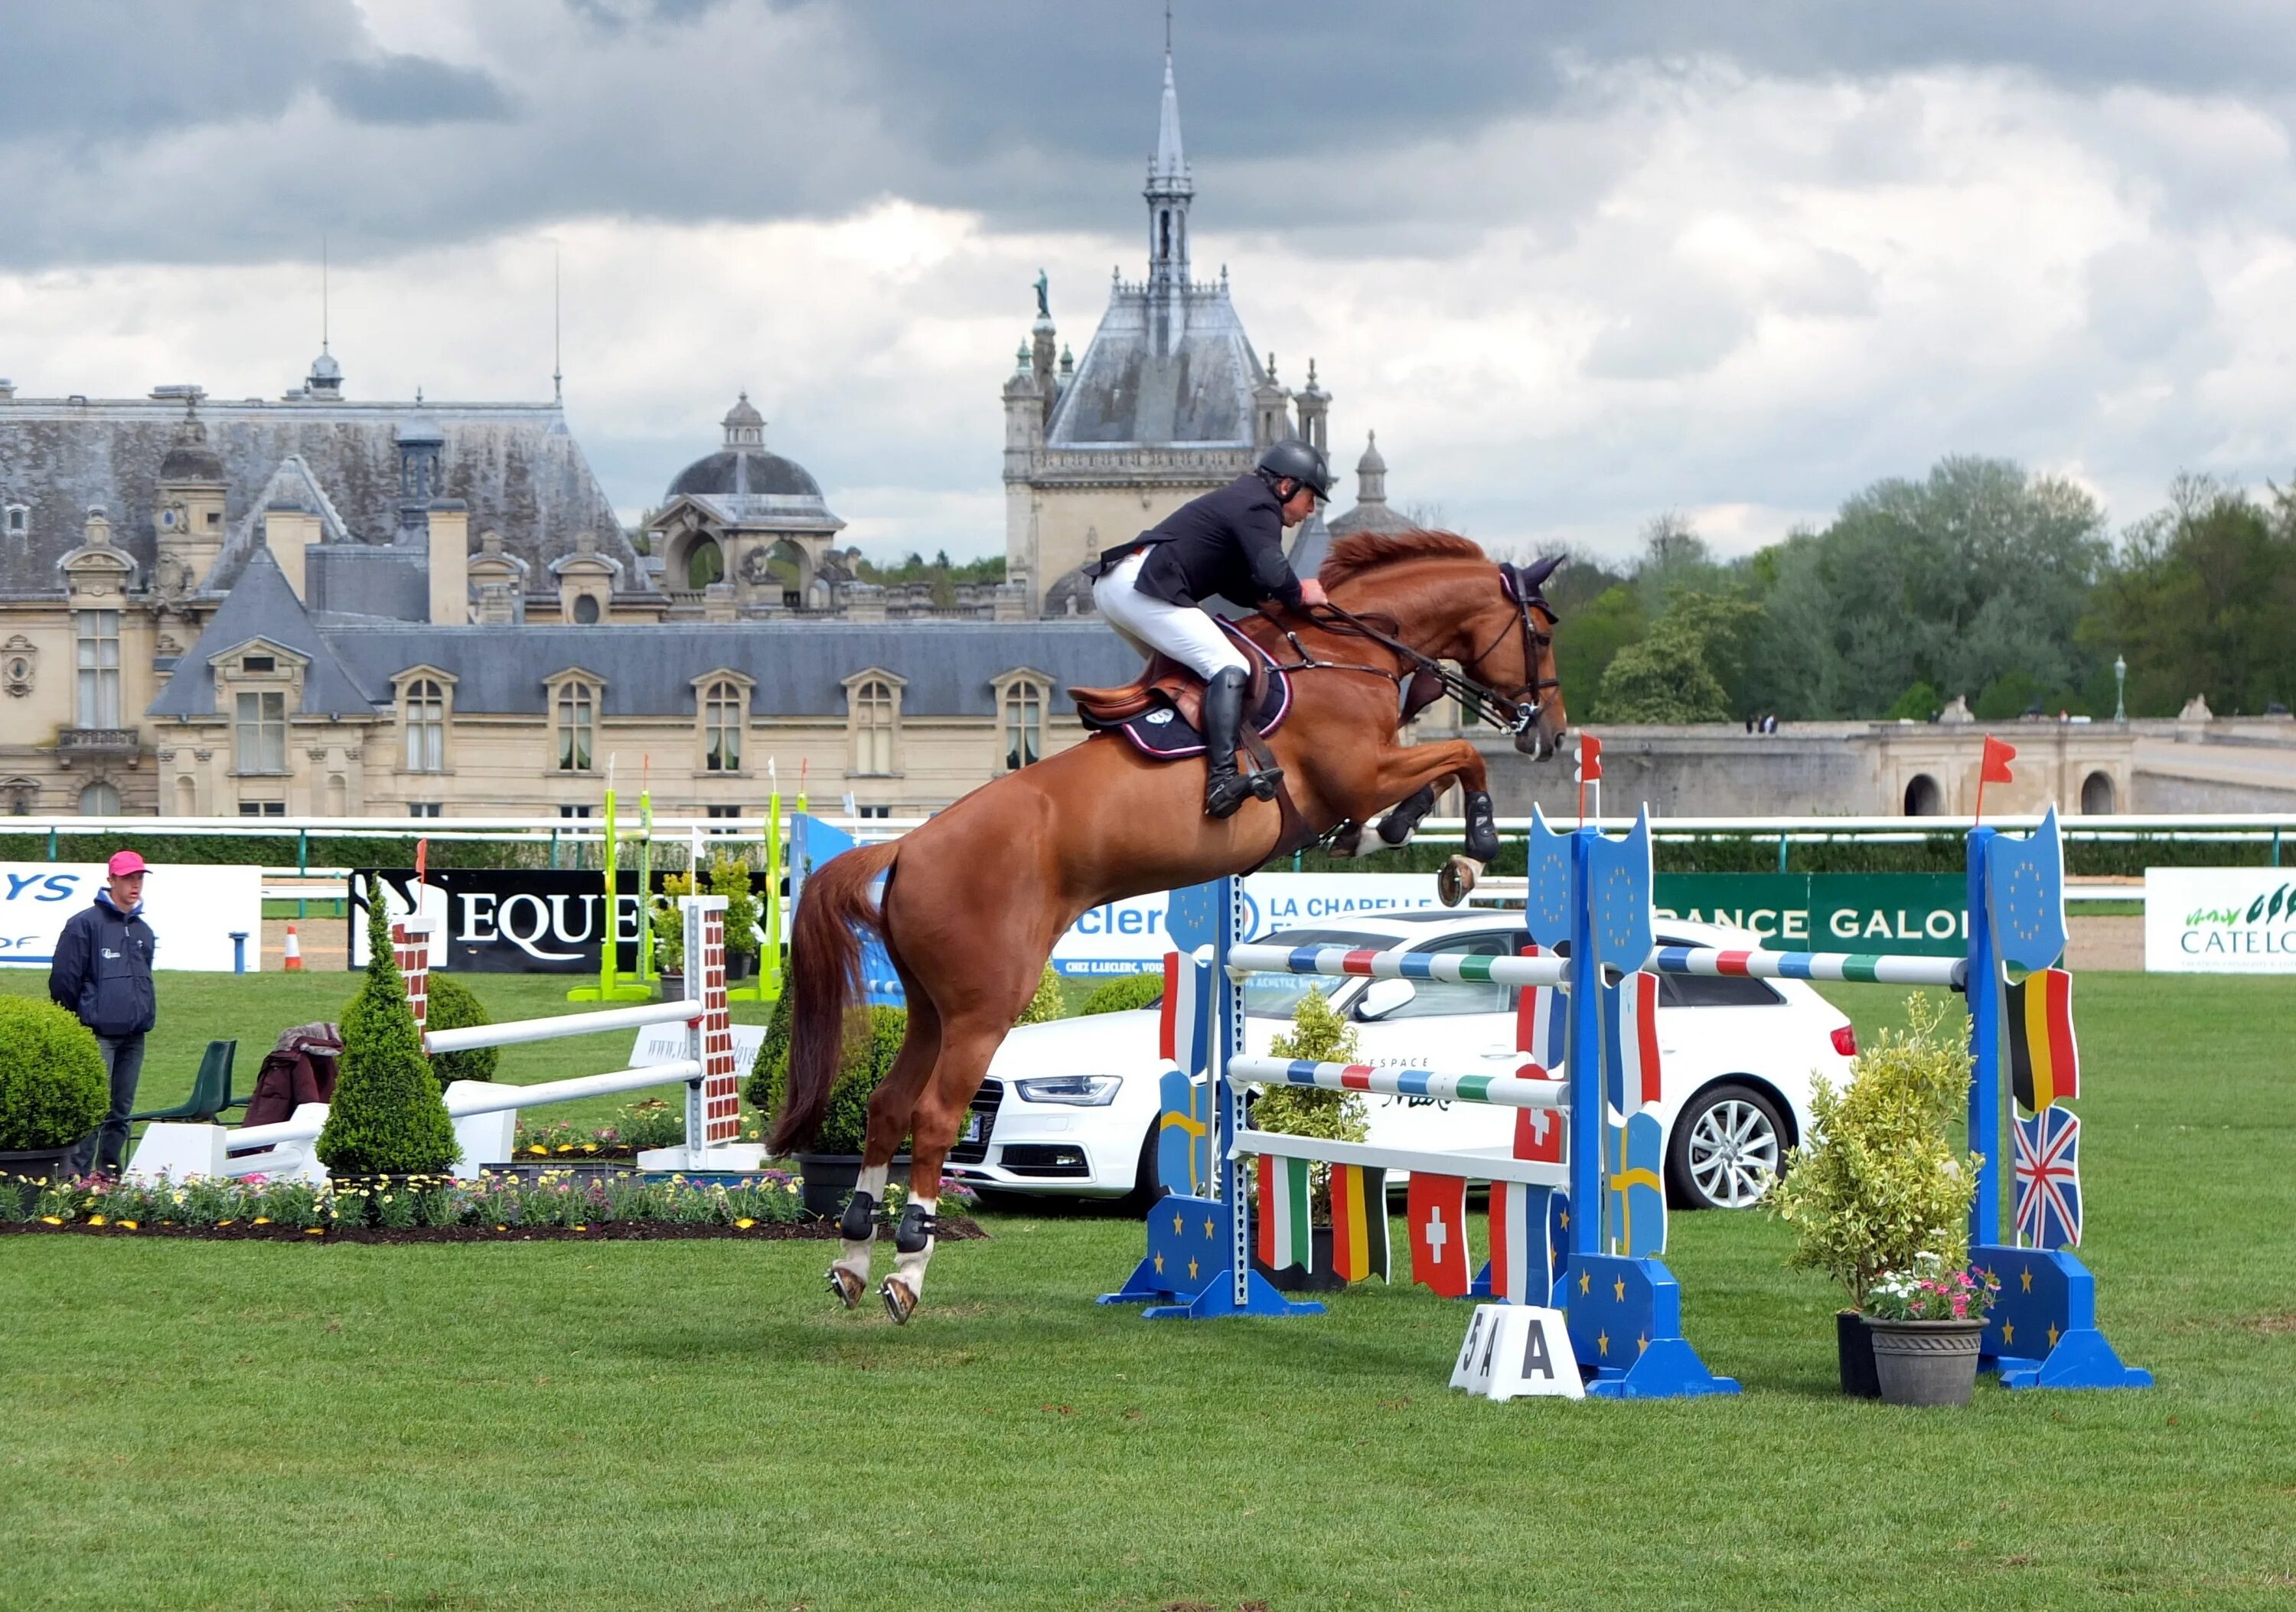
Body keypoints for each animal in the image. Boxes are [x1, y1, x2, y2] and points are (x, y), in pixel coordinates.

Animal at [767, 537, 1561, 1323]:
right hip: (984, 1005)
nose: (1550, 735)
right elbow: (1459, 758)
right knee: (934, 1114)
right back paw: (908, 1268)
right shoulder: (1360, 774)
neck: (1346, 651)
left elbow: (1428, 782)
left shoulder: (1365, 780)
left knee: (886, 1105)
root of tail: (907, 846)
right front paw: (1471, 850)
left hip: (931, 1006)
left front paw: (1399, 838)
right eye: (1545, 634)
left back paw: (853, 1258)